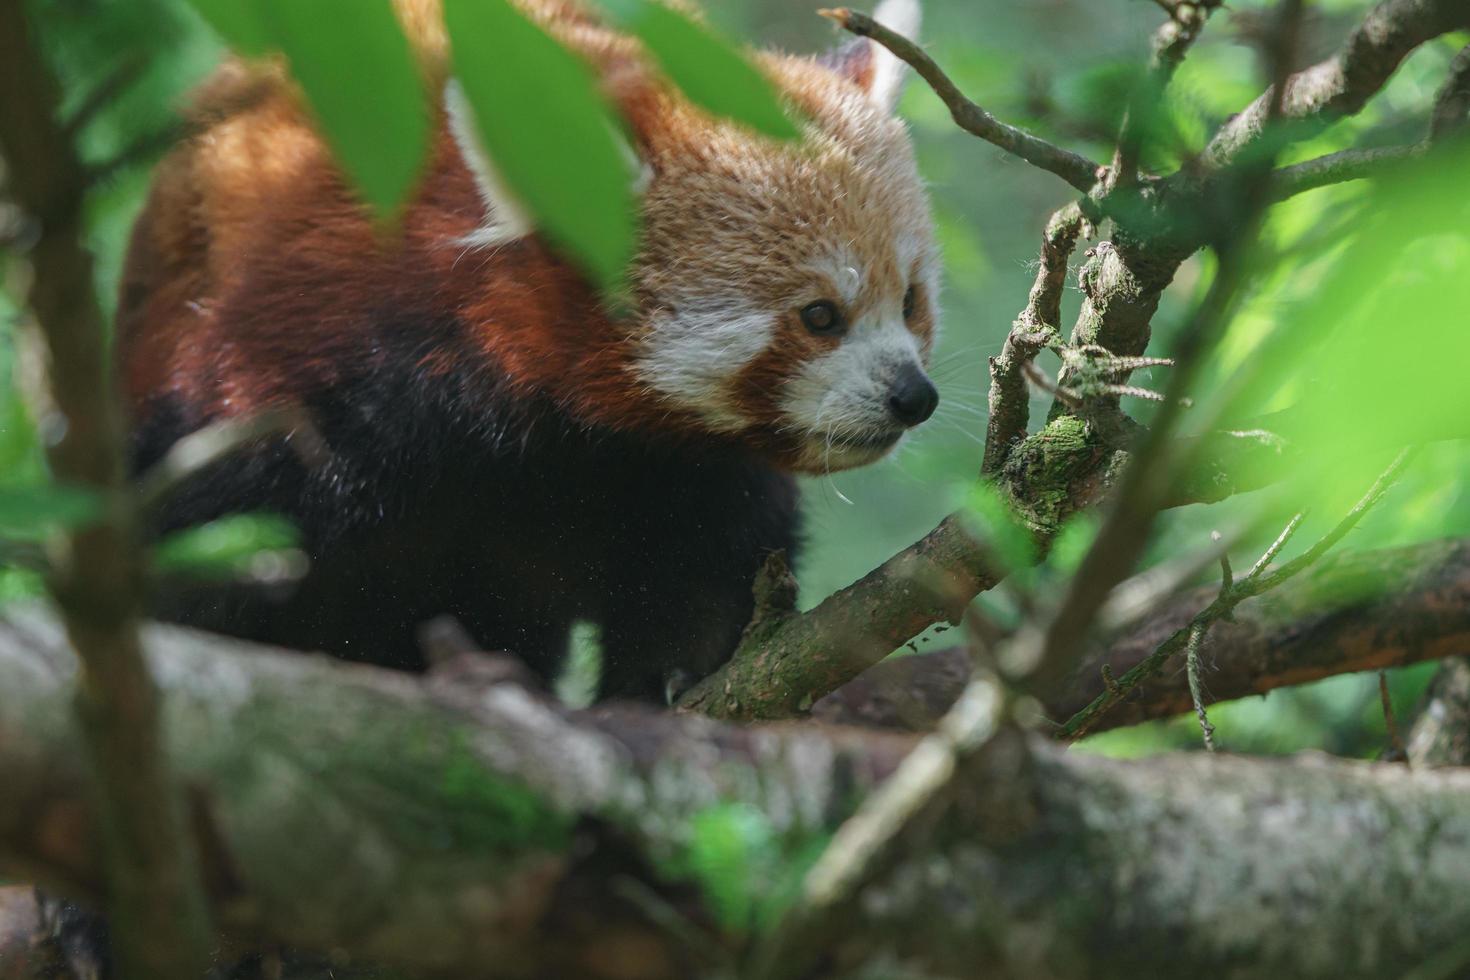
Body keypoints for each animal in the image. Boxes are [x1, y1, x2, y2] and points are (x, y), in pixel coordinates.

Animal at [114, 0, 940, 705]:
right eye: (820, 315)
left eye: (908, 301)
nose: (914, 396)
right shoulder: (304, 377)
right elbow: (212, 560)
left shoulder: (679, 469)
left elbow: (709, 574)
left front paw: (672, 682)